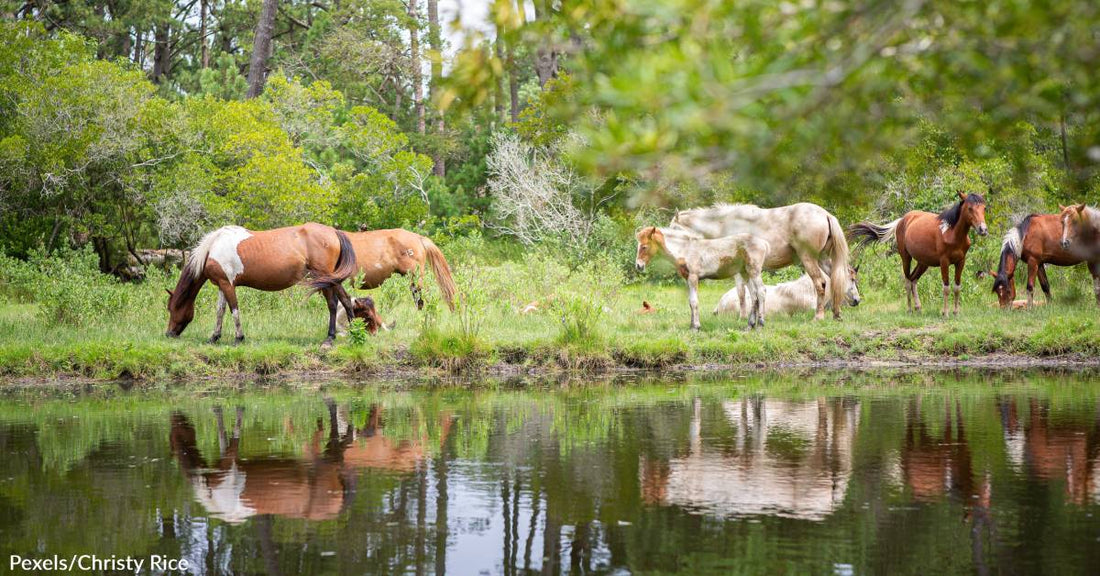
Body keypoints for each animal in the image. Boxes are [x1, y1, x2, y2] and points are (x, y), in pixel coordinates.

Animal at [166, 223, 358, 347]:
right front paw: (214, 337)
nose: (169, 334)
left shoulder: (228, 284)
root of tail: (334, 232)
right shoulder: (221, 284)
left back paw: (342, 335)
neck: (213, 248)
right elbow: (220, 311)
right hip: (327, 280)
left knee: (340, 301)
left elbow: (234, 310)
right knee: (337, 302)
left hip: (326, 278)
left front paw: (238, 338)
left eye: (171, 308)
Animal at [635, 226, 769, 330]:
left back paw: (760, 324)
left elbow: (694, 302)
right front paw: (691, 326)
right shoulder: (687, 279)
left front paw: (696, 327)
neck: (685, 250)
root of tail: (763, 242)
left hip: (754, 271)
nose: (638, 266)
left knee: (761, 292)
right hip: (745, 273)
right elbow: (690, 302)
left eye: (644, 246)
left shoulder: (693, 278)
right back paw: (750, 325)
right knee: (754, 296)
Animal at [849, 191, 988, 316]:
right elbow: (946, 288)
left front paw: (955, 312)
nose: (983, 229)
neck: (952, 233)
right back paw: (910, 309)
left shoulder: (961, 262)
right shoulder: (944, 262)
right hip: (906, 258)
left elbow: (957, 287)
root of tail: (902, 220)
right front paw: (945, 313)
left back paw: (918, 307)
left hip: (923, 263)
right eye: (970, 208)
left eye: (984, 208)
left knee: (913, 279)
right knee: (907, 281)